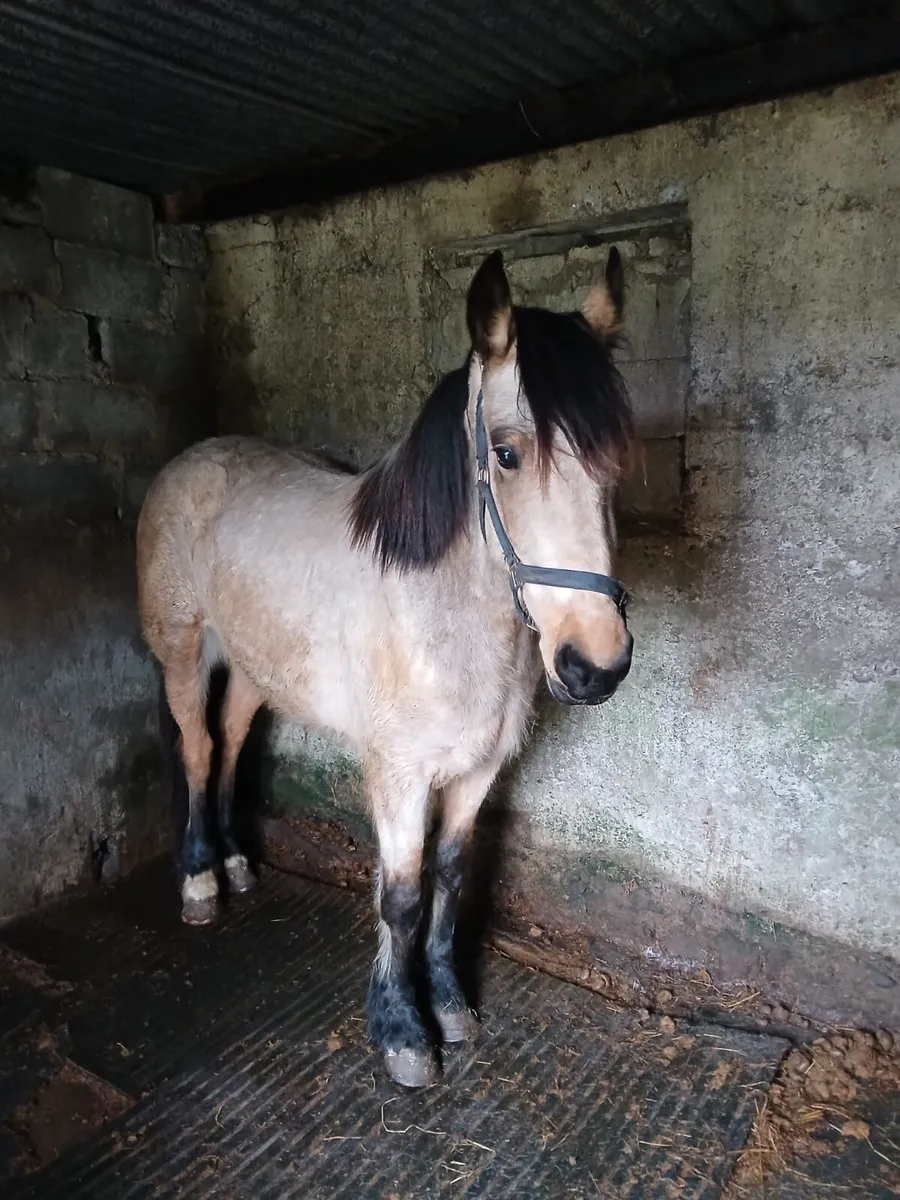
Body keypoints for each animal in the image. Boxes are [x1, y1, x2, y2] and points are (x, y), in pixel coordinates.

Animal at [136, 246, 636, 1088]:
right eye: (507, 453)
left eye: (617, 460)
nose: (594, 666)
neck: (438, 615)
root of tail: (190, 460)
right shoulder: (399, 776)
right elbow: (400, 897)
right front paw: (402, 1029)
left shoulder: (478, 770)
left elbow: (452, 877)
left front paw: (451, 1002)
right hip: (181, 649)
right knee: (200, 749)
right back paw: (202, 877)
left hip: (255, 667)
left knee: (231, 740)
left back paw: (237, 861)